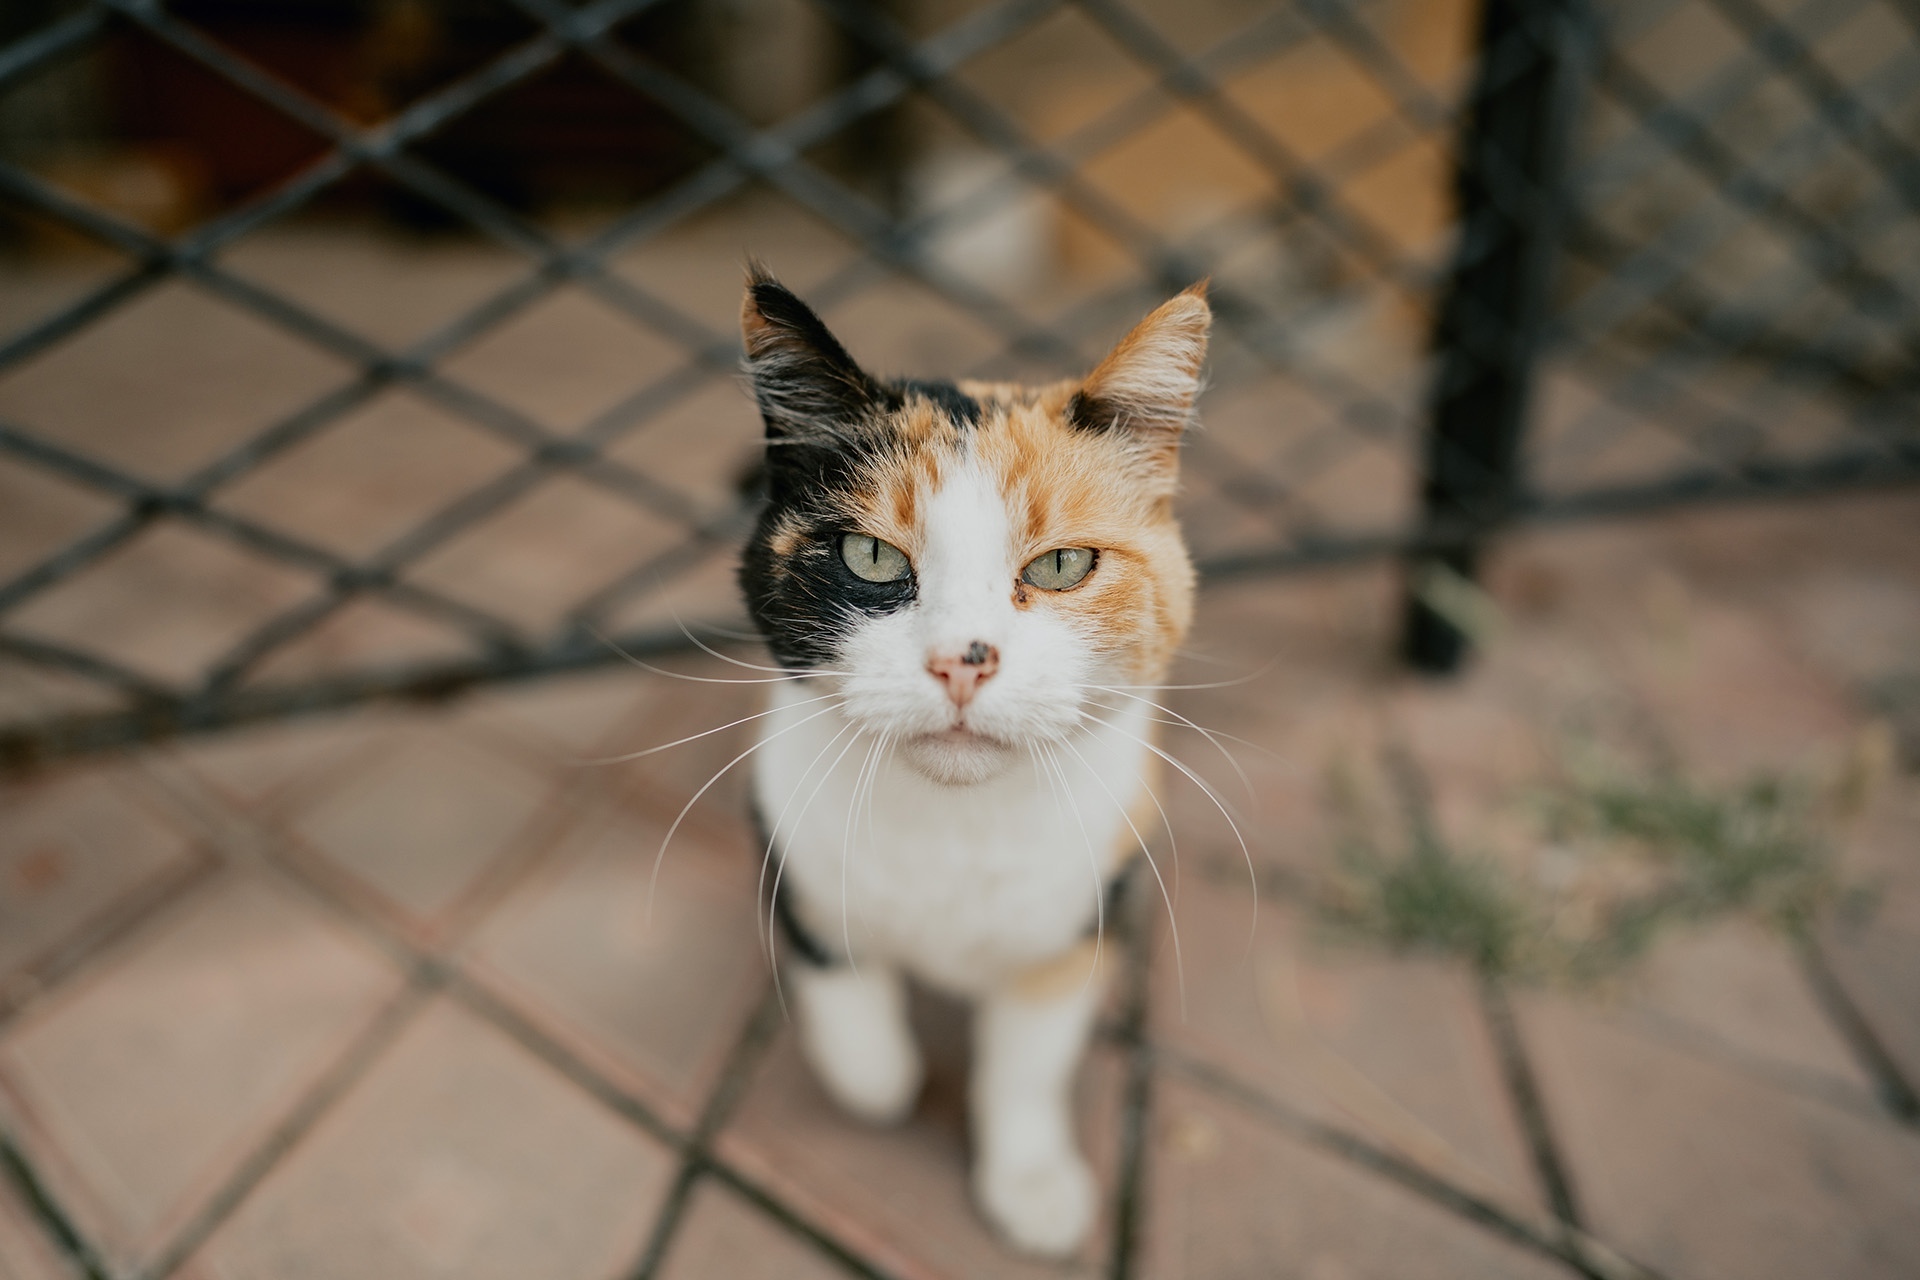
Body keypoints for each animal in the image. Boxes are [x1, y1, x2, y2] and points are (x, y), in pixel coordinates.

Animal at [733, 264, 1198, 1258]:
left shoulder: (1084, 911)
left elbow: (1028, 1063)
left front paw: (1032, 1183)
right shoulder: (785, 833)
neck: (954, 825)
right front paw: (875, 1076)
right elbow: (838, 972)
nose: (962, 660)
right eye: (870, 555)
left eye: (1062, 565)